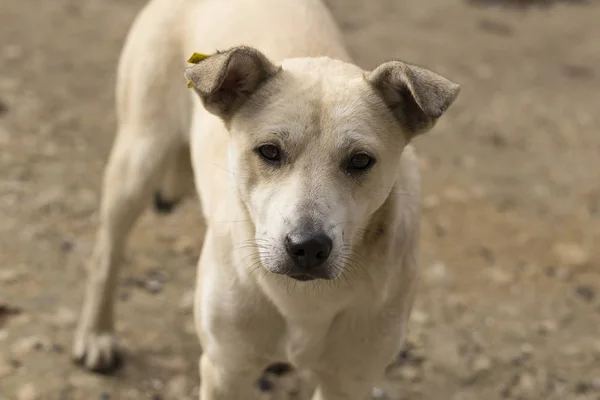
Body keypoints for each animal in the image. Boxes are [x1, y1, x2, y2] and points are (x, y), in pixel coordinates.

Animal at [72, 0, 462, 398]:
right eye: (270, 151)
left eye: (360, 161)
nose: (308, 247)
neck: (303, 301)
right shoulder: (225, 372)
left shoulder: (349, 380)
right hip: (139, 157)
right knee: (107, 253)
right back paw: (96, 335)